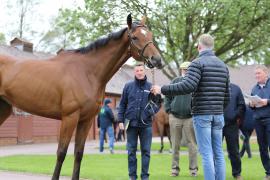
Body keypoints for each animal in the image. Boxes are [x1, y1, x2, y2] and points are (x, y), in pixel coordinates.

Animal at [0, 14, 161, 180]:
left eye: (150, 35)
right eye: (135, 37)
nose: (157, 60)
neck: (87, 71)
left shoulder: (86, 120)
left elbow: (78, 153)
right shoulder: (70, 117)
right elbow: (61, 153)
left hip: (3, 109)